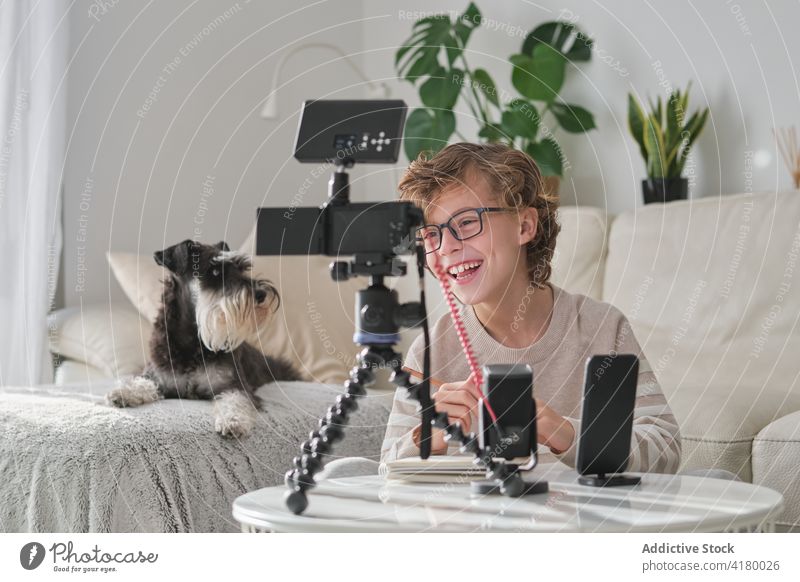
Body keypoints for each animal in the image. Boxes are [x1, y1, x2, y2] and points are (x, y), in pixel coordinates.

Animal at [106, 241, 300, 438]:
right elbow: (143, 382)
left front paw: (233, 420)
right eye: (214, 272)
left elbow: (235, 400)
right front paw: (124, 392)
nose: (261, 294)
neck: (192, 343)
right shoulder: (157, 376)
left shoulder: (234, 385)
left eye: (242, 269)